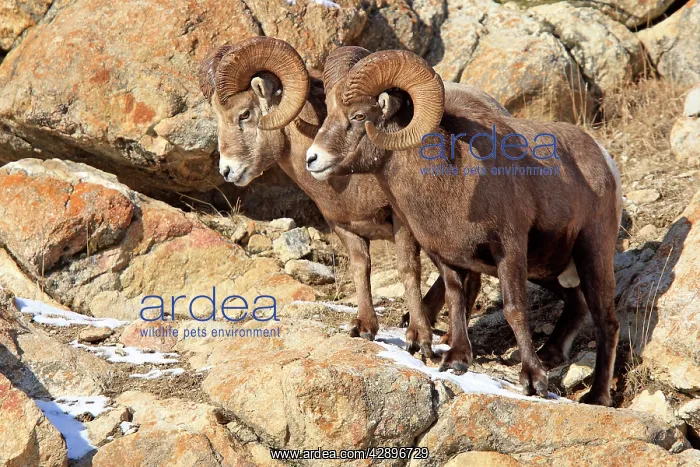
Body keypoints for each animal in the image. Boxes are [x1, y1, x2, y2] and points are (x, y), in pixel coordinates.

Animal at [306, 49, 623, 406]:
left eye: (359, 115)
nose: (312, 159)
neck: (453, 179)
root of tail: (603, 158)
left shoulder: (509, 251)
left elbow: (514, 309)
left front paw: (533, 381)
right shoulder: (448, 259)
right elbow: (456, 301)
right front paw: (456, 360)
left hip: (591, 254)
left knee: (606, 322)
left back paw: (596, 397)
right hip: (547, 270)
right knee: (577, 304)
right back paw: (551, 354)